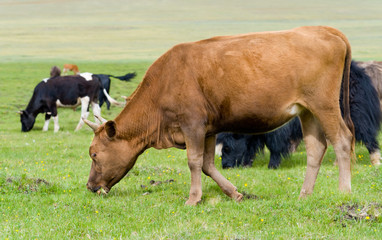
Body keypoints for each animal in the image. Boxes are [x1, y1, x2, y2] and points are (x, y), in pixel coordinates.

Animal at [83, 26, 356, 206]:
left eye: (94, 154)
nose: (90, 186)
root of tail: (323, 30)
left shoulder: (193, 124)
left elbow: (194, 162)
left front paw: (193, 199)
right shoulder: (209, 129)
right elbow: (207, 164)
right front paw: (235, 193)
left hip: (324, 104)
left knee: (342, 140)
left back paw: (344, 191)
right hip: (306, 110)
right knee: (316, 148)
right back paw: (304, 194)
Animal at [216, 61, 380, 168]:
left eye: (227, 148)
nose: (225, 166)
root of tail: (360, 75)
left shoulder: (277, 128)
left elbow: (274, 145)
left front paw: (272, 165)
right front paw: (247, 164)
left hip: (354, 116)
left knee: (366, 136)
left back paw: (375, 161)